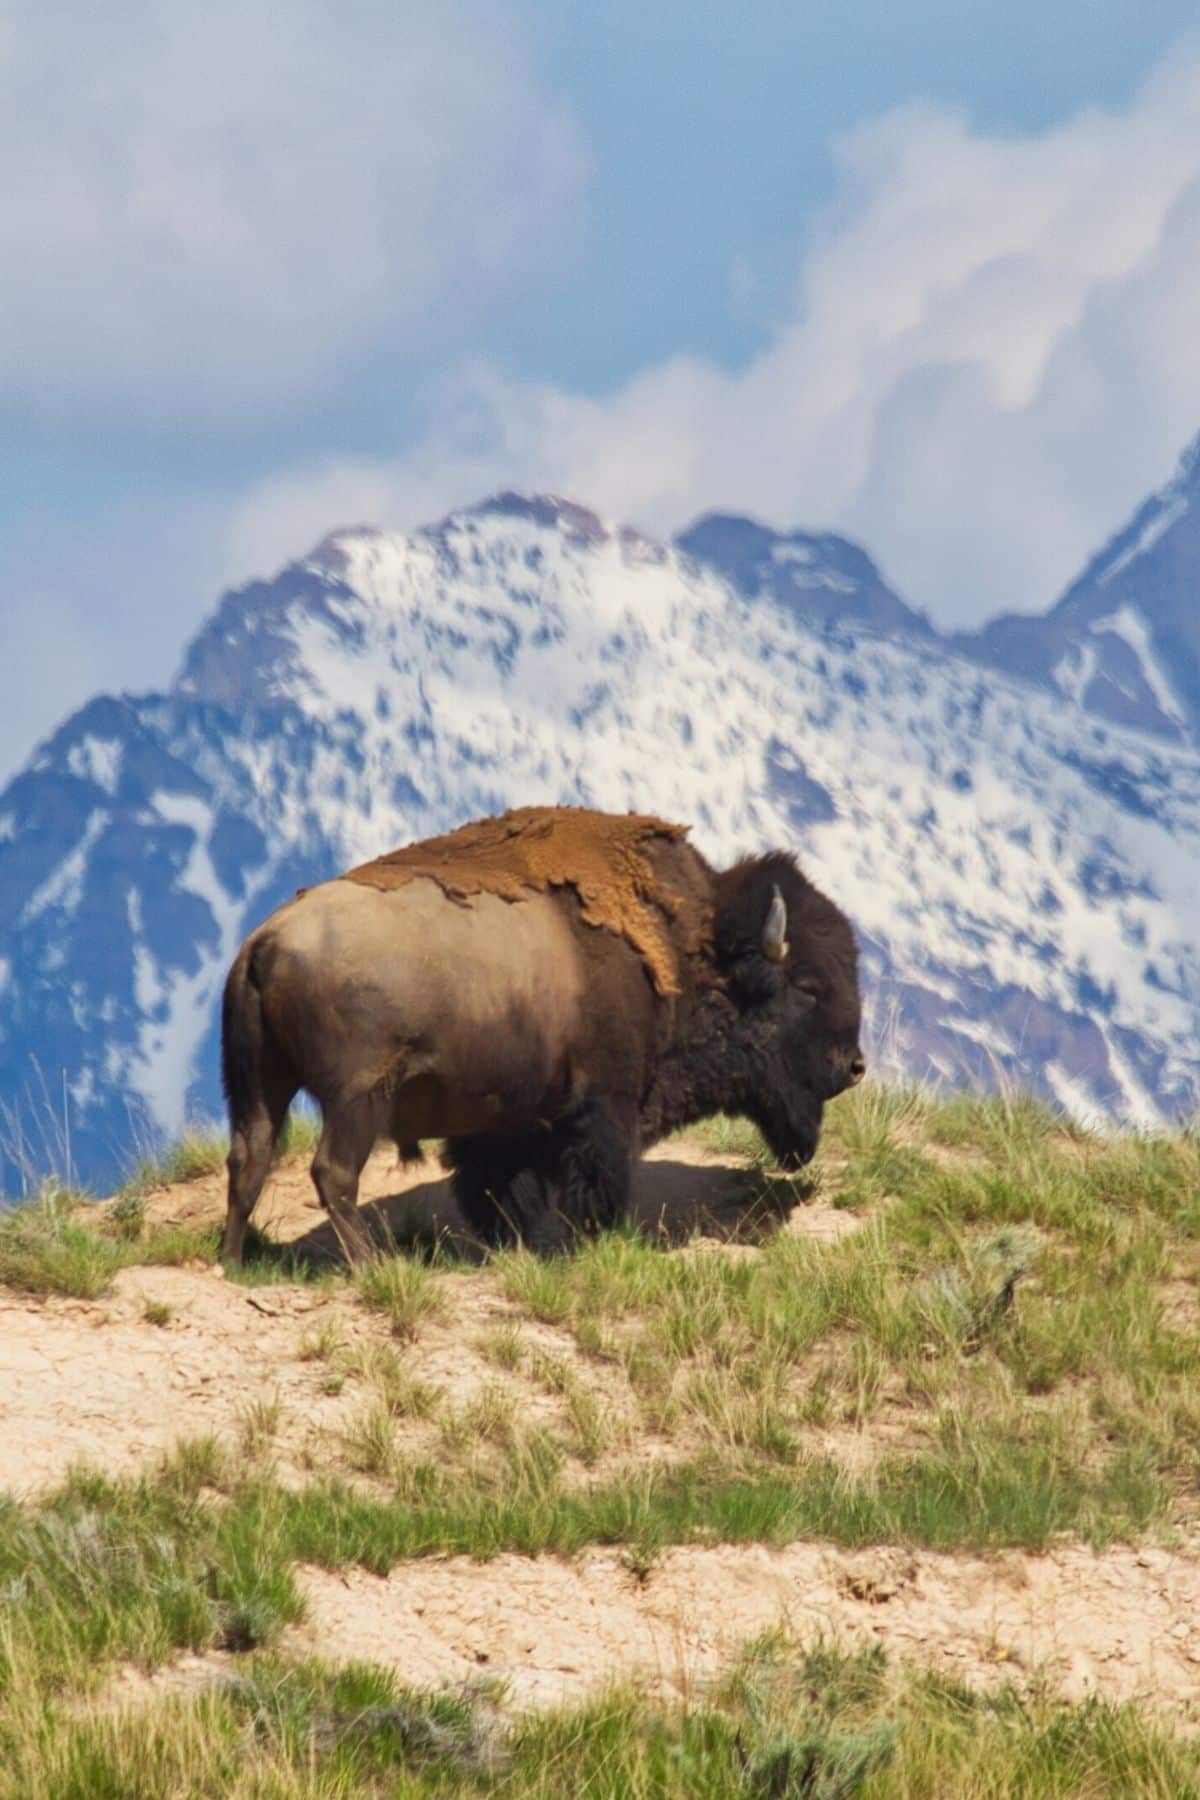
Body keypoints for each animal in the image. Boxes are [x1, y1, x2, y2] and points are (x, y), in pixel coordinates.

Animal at [218, 810, 863, 1260]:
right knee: (332, 1173)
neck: (688, 952)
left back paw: (235, 1261)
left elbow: (499, 1188)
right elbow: (592, 1181)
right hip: (358, 1097)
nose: (854, 1066)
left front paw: (521, 1243)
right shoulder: (603, 1106)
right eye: (807, 986)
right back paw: (370, 1264)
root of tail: (265, 941)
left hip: (262, 1086)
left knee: (248, 1159)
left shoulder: (501, 1123)